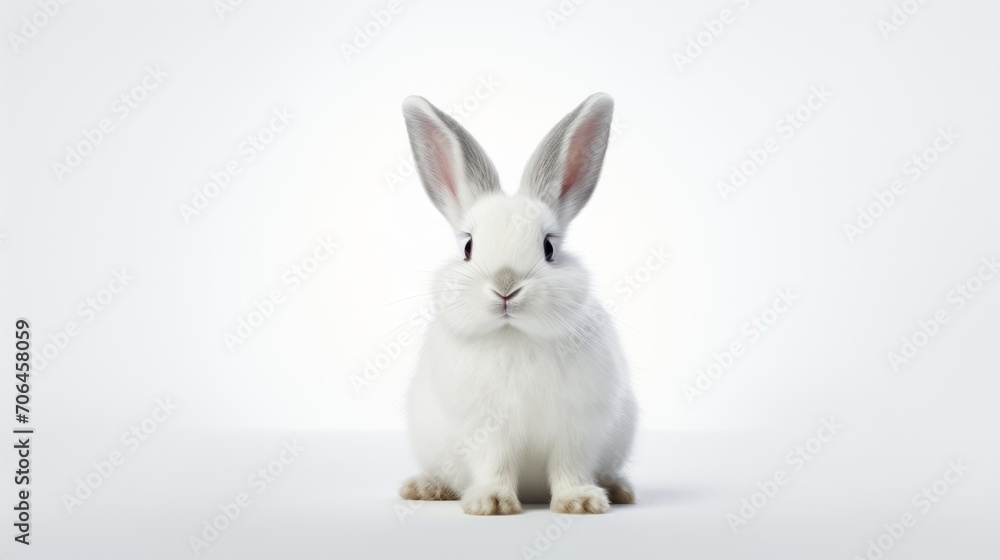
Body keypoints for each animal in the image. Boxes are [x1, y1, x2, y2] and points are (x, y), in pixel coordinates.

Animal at [398, 93, 637, 515]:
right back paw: (423, 488)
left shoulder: (577, 428)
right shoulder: (485, 430)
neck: (515, 335)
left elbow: (570, 466)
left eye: (549, 247)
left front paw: (580, 501)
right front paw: (491, 503)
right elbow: (493, 464)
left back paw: (620, 489)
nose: (505, 287)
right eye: (467, 247)